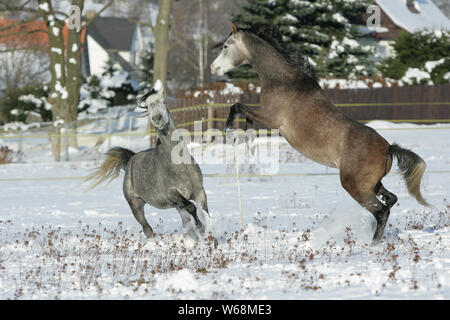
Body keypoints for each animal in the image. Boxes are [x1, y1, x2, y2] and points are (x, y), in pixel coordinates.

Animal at [86, 87, 209, 240]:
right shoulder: (173, 195)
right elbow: (192, 207)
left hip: (177, 206)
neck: (179, 165)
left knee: (186, 225)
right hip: (136, 205)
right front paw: (201, 227)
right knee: (147, 229)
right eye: (149, 106)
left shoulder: (199, 191)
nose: (157, 119)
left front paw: (207, 232)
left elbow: (205, 213)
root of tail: (131, 159)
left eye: (163, 102)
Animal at [212, 23, 432, 244]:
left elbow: (237, 105)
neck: (282, 80)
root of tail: (388, 148)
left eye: (225, 46)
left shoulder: (271, 119)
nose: (213, 68)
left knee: (381, 211)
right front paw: (245, 138)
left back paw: (372, 244)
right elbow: (245, 117)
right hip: (373, 185)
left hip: (355, 186)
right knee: (390, 200)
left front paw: (228, 130)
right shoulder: (266, 119)